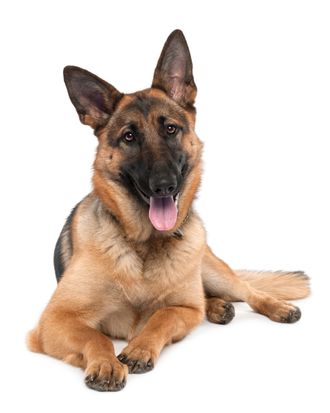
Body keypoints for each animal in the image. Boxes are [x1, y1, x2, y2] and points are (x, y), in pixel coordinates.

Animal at [27, 29, 310, 390]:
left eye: (171, 129)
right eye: (129, 137)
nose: (164, 185)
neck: (144, 245)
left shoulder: (184, 310)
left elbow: (162, 315)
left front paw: (139, 348)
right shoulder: (54, 320)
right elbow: (97, 337)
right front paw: (106, 363)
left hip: (212, 269)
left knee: (245, 289)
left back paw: (275, 306)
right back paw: (218, 307)